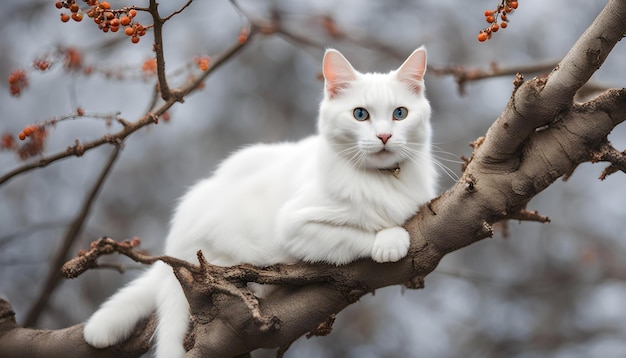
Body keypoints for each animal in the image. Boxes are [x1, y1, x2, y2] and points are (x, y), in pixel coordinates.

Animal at [83, 47, 434, 358]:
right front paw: (389, 239)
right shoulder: (296, 226)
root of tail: (177, 240)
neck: (382, 179)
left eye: (399, 114)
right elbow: (356, 234)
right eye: (361, 115)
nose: (385, 136)